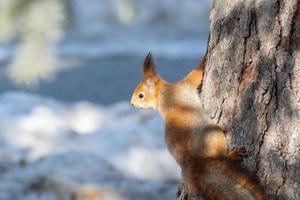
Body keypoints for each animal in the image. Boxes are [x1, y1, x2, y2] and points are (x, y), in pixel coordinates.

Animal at [130, 52, 266, 199]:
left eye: (140, 95)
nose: (132, 104)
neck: (162, 95)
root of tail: (195, 161)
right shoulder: (184, 86)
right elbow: (196, 74)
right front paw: (204, 59)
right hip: (215, 134)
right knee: (221, 155)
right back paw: (233, 154)